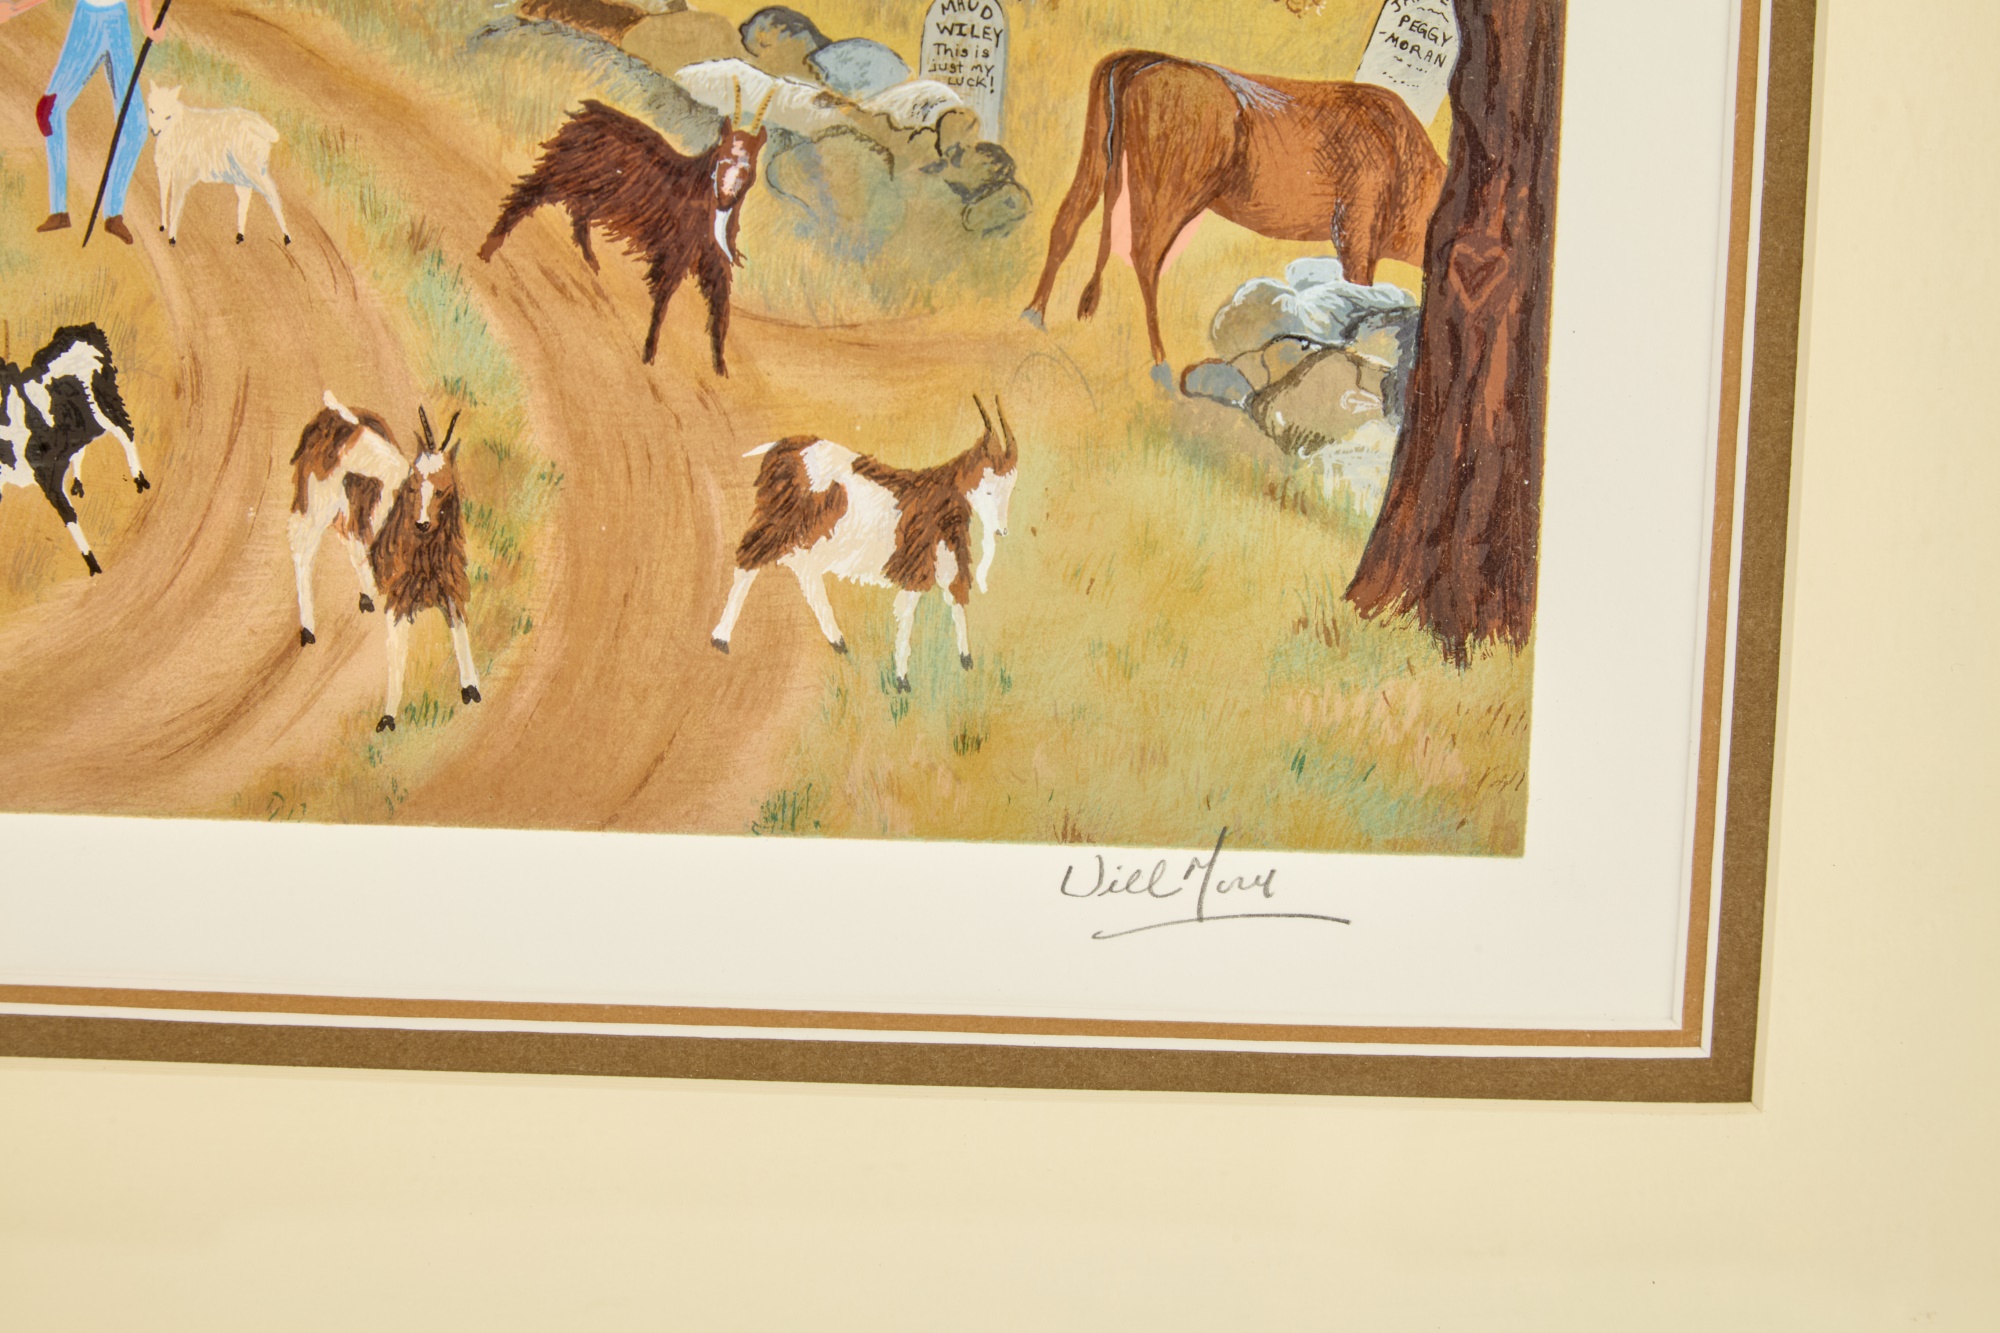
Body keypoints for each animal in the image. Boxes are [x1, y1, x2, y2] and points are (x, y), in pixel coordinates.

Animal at [0, 324, 150, 577]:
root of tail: (83, 329)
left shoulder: (46, 475)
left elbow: (68, 515)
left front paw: (93, 565)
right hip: (83, 420)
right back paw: (78, 483)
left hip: (105, 403)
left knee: (125, 432)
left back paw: (139, 479)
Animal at [711, 397, 1019, 692]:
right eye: (988, 489)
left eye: (1010, 488)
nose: (1002, 530)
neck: (939, 494)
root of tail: (781, 447)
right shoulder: (916, 565)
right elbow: (908, 614)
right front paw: (902, 681)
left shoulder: (947, 559)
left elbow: (956, 597)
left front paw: (967, 661)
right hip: (780, 521)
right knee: (748, 560)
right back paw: (720, 639)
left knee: (804, 573)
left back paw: (838, 642)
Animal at [1023, 51, 1446, 387]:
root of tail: (1149, 60)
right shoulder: (1355, 230)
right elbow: (1356, 289)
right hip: (1169, 190)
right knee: (1144, 256)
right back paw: (1161, 362)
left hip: (1096, 162)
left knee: (1066, 222)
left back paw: (1033, 315)